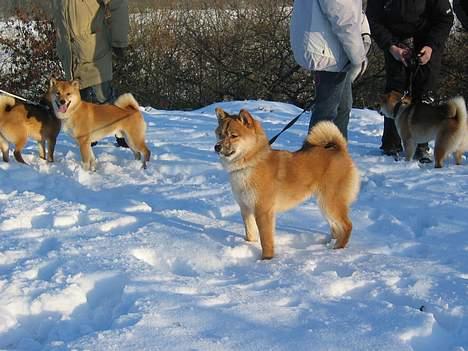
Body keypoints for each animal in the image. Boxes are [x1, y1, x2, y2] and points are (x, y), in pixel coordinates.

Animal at [214, 108, 360, 260]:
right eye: (220, 134)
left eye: (233, 136)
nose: (217, 147)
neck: (250, 163)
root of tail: (340, 150)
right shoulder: (246, 208)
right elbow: (250, 233)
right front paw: (249, 245)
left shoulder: (263, 211)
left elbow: (266, 240)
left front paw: (266, 260)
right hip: (324, 204)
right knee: (336, 226)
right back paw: (329, 243)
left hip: (330, 202)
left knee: (347, 225)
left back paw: (338, 248)